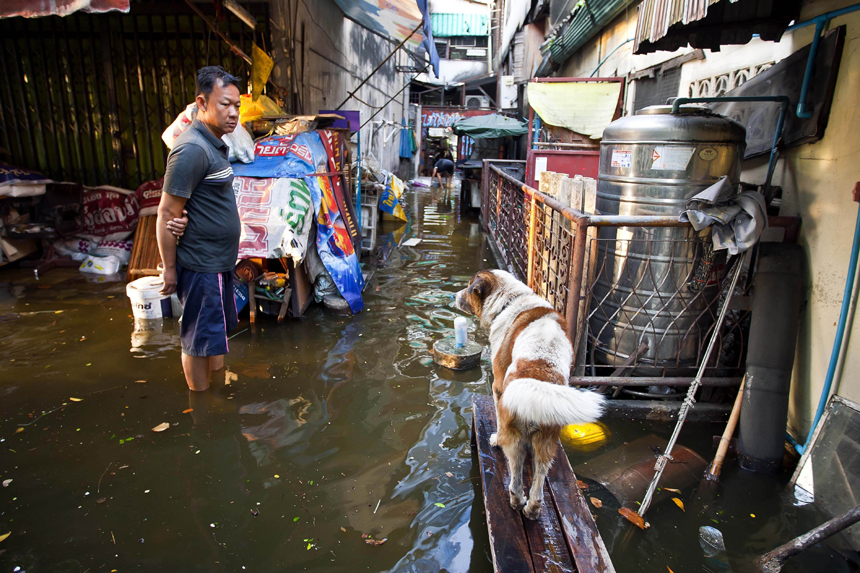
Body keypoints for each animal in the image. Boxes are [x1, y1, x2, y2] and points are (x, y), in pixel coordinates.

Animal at [454, 268, 600, 520]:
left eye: (469, 286)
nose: (455, 295)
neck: (509, 301)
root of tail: (539, 375)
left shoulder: (497, 387)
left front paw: (494, 438)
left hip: (514, 437)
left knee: (515, 480)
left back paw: (516, 501)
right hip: (548, 441)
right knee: (539, 486)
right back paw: (532, 510)